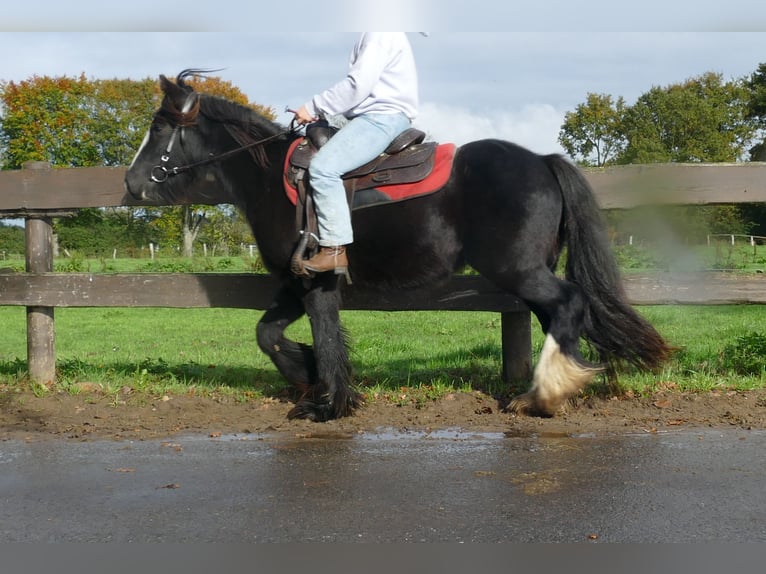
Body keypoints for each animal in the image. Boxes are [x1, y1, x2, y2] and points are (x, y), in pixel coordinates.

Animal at [124, 70, 673, 422]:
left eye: (159, 128)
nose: (131, 184)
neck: (272, 179)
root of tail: (541, 159)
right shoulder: (296, 281)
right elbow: (268, 334)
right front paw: (306, 375)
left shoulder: (317, 282)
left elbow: (325, 336)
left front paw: (327, 404)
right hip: (529, 271)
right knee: (559, 315)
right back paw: (550, 389)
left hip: (519, 270)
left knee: (569, 304)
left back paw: (543, 395)